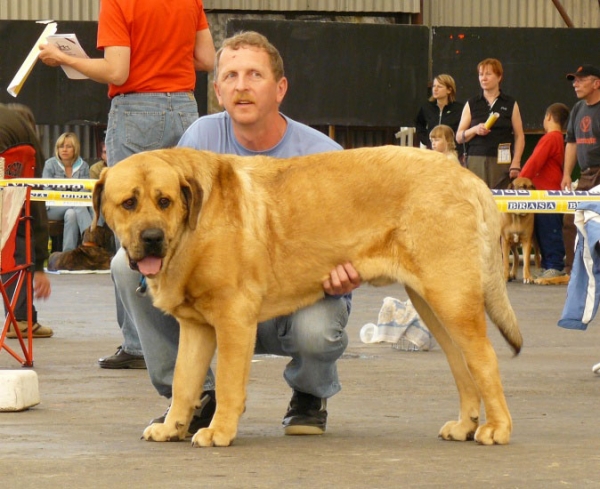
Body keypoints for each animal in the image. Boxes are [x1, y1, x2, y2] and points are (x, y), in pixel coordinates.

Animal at [92, 144, 520, 446]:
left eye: (164, 201)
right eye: (129, 202)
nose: (152, 238)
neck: (191, 228)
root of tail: (467, 178)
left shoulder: (233, 319)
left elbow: (228, 383)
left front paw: (218, 430)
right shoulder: (197, 328)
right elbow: (184, 382)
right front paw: (173, 426)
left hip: (452, 296)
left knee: (485, 359)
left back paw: (497, 428)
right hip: (431, 302)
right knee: (461, 363)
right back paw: (465, 425)